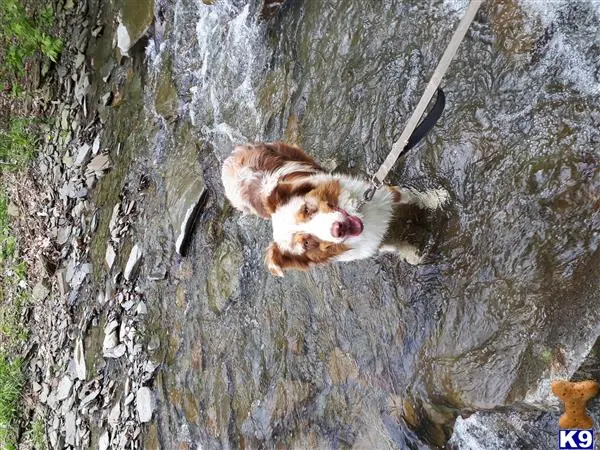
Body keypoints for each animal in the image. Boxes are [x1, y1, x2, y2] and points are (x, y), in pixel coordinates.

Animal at [223, 142, 448, 274]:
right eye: (306, 243)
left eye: (307, 209)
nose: (337, 228)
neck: (364, 217)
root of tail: (229, 161)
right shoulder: (374, 243)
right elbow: (397, 247)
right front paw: (414, 256)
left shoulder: (382, 193)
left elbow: (415, 196)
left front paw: (438, 198)